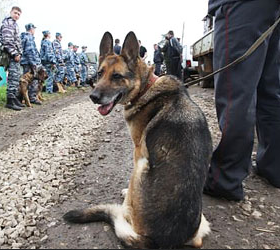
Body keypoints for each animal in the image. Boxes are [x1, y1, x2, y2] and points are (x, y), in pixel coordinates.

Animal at [63, 31, 212, 248]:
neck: (145, 87)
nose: (93, 97)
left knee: (125, 212)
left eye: (117, 76)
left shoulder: (138, 149)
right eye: (99, 74)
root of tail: (158, 241)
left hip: (140, 165)